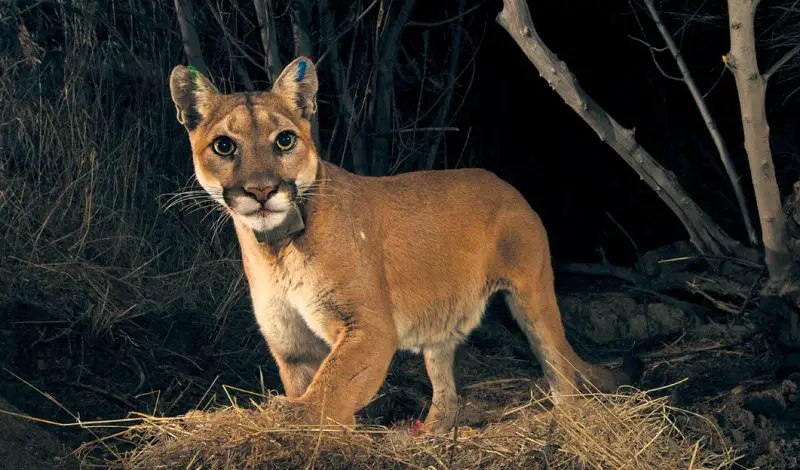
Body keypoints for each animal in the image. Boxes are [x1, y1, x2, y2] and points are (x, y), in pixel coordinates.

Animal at [169, 56, 640, 433]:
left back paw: (568, 423)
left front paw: (294, 420)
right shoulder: (292, 345)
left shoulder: (369, 327)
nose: (262, 190)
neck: (276, 249)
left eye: (284, 139)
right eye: (224, 146)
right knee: (447, 390)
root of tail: (505, 183)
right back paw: (428, 434)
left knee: (559, 365)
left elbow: (329, 389)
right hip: (442, 323)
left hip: (532, 294)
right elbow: (318, 388)